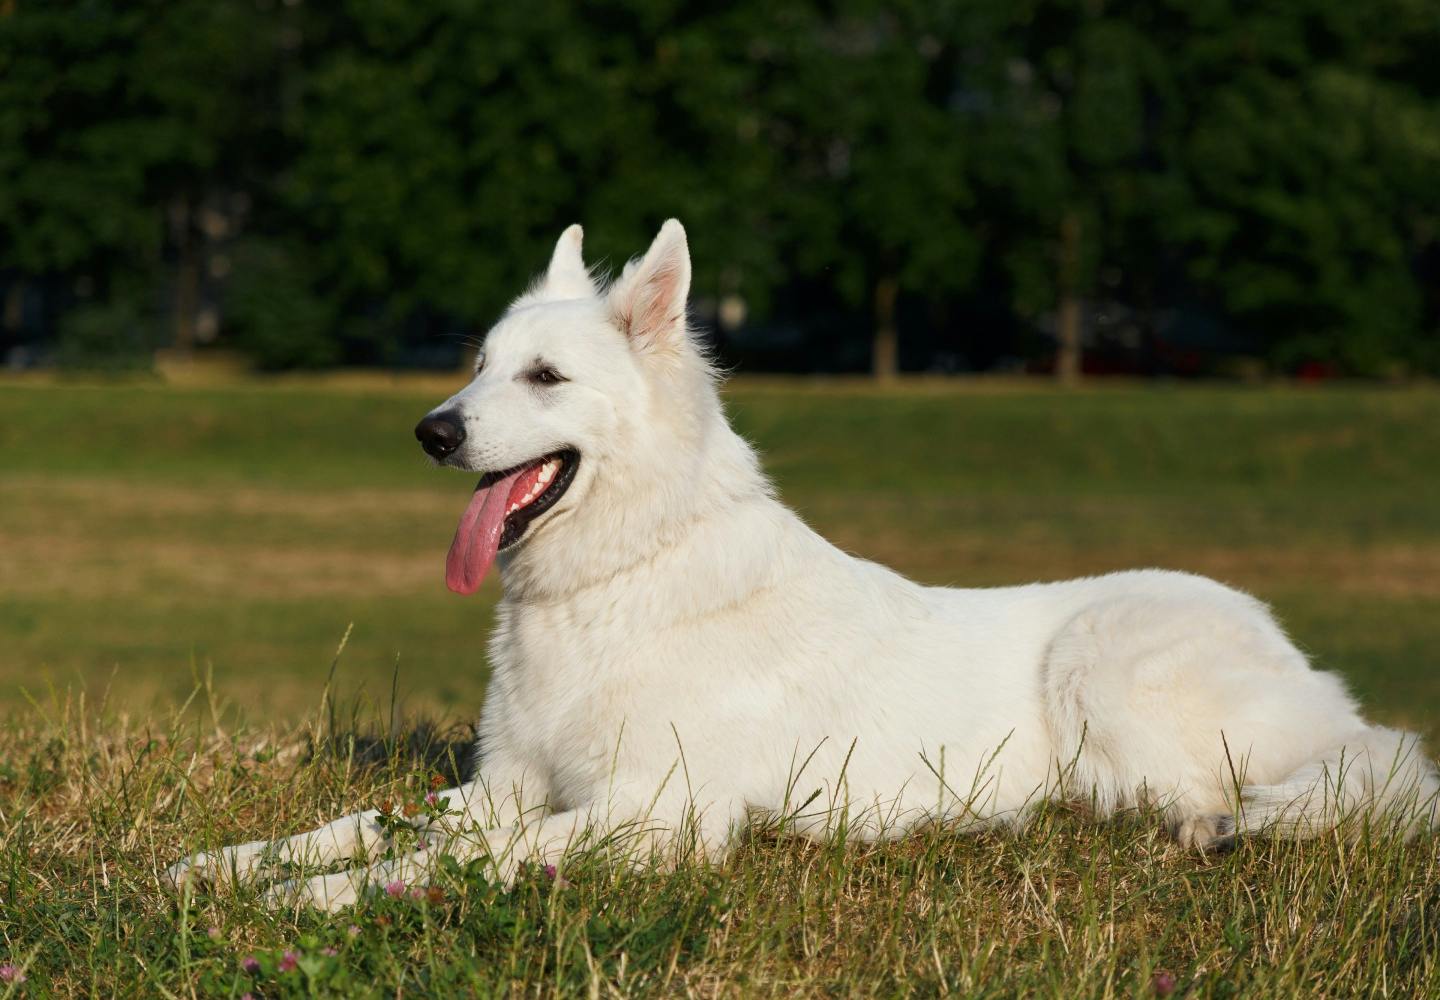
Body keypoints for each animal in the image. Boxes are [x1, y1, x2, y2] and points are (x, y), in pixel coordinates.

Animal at [171, 223, 1440, 910]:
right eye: (478, 364)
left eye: (543, 378)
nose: (431, 431)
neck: (624, 579)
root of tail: (1297, 658)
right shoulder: (504, 785)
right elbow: (369, 820)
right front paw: (231, 865)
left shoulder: (657, 815)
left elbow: (464, 855)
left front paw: (318, 898)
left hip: (1107, 665)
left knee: (1315, 784)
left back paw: (1198, 831)